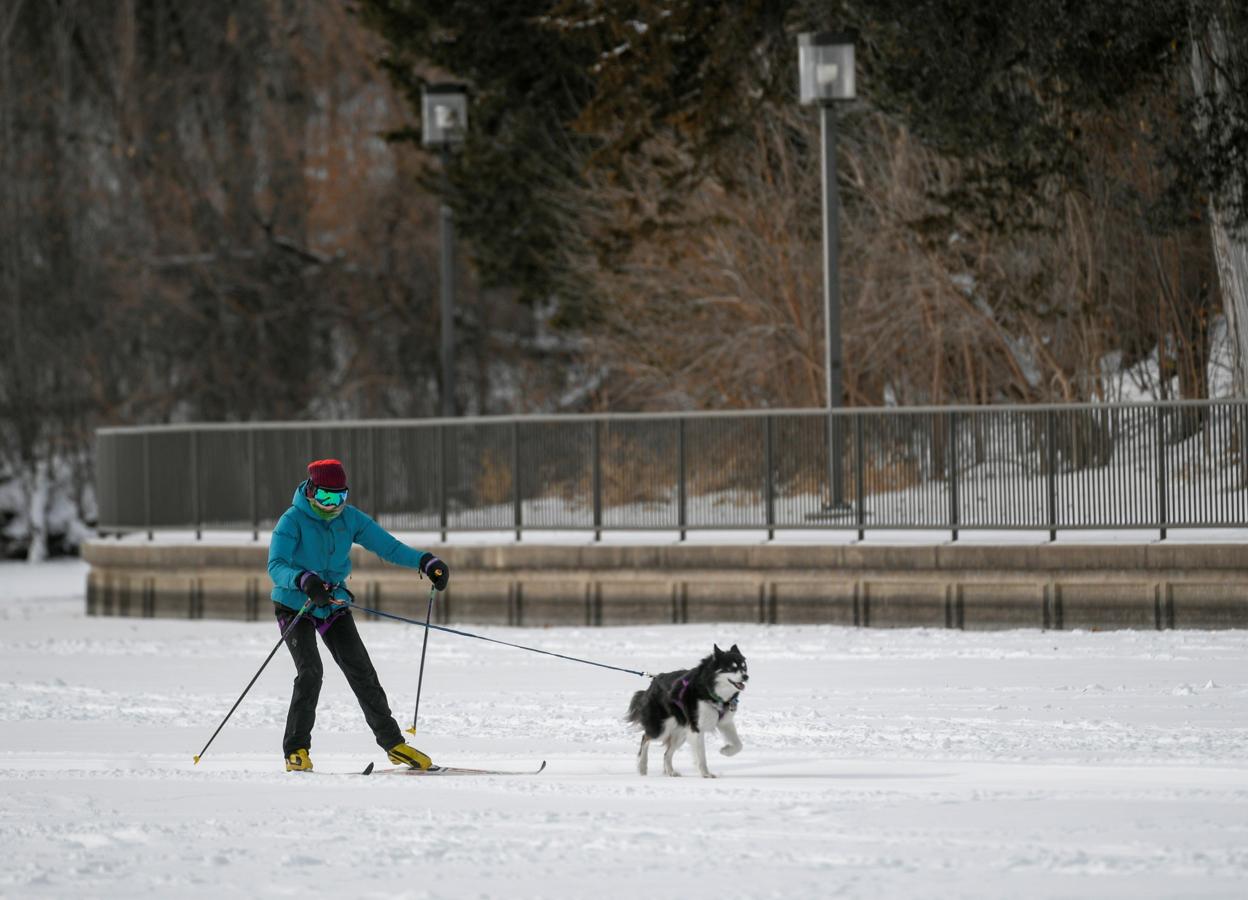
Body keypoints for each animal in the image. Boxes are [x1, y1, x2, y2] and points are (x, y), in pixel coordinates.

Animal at [628, 644, 743, 773]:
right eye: (731, 668)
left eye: (744, 667)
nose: (746, 676)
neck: (710, 689)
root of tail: (654, 680)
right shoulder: (697, 728)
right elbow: (701, 754)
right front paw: (706, 773)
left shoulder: (725, 723)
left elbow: (739, 745)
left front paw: (726, 751)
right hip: (662, 729)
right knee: (645, 738)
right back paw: (642, 766)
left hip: (681, 732)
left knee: (666, 754)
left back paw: (670, 772)